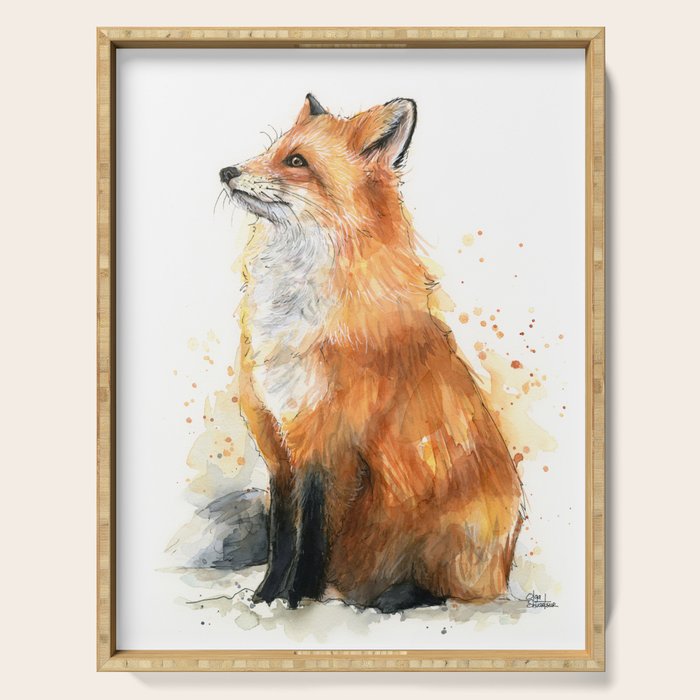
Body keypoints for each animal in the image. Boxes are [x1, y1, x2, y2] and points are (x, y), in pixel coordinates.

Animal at [219, 94, 523, 613]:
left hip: (459, 534)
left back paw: (393, 598)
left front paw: (298, 602)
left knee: (449, 593)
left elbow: (312, 538)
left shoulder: (330, 446)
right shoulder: (278, 446)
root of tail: (502, 572)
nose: (226, 171)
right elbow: (283, 538)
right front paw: (266, 600)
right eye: (272, 151)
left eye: (296, 162)